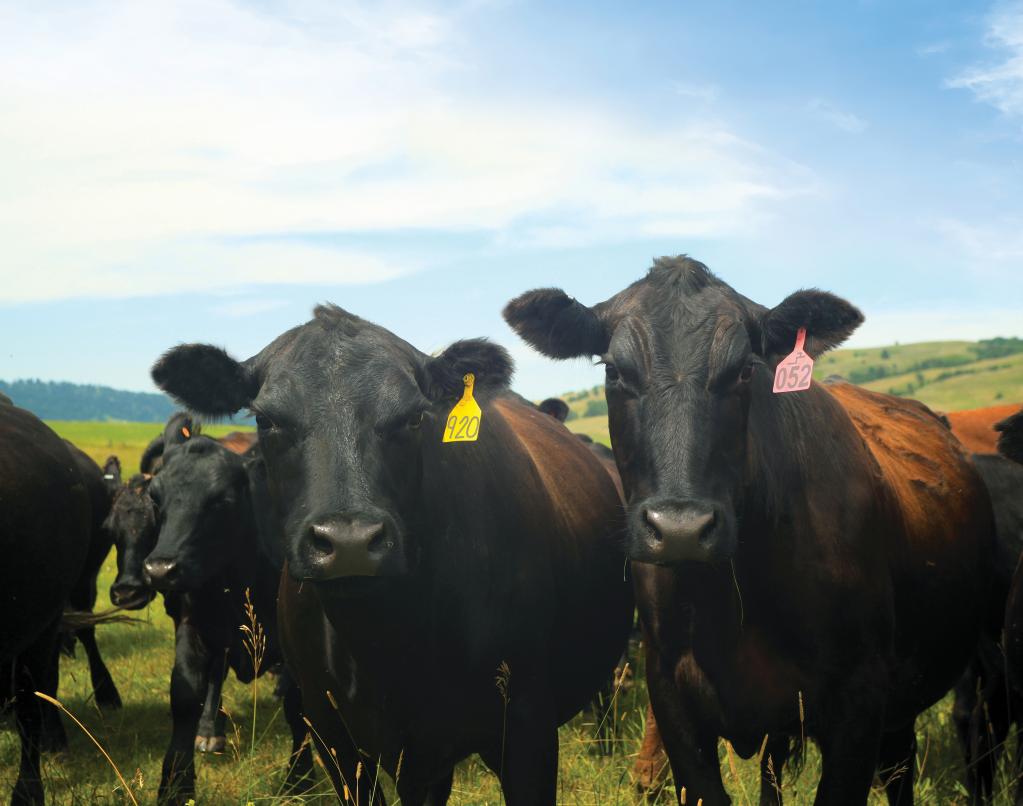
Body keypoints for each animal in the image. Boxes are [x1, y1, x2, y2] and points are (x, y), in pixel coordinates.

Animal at [139, 439, 310, 806]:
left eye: (221, 499)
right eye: (156, 498)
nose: (160, 569)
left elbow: (297, 706)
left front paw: (300, 781)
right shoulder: (193, 629)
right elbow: (186, 697)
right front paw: (176, 785)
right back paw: (209, 730)